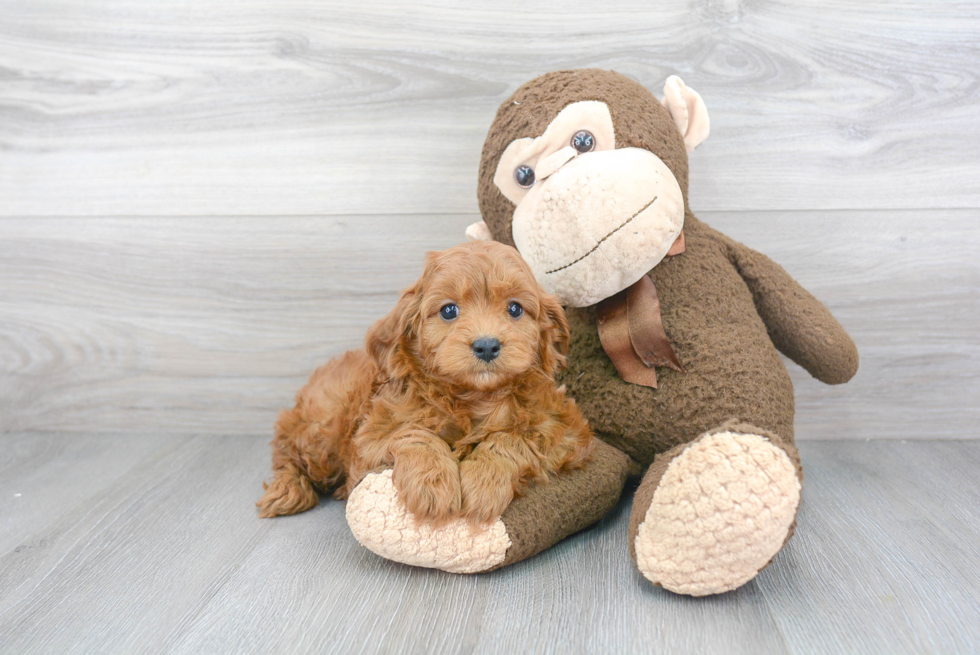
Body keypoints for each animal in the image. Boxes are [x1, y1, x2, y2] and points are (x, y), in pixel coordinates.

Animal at [256, 243, 592, 524]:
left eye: (515, 309)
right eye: (449, 310)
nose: (486, 345)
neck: (474, 398)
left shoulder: (565, 429)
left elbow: (513, 438)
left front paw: (484, 480)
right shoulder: (370, 439)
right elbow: (413, 433)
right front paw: (432, 483)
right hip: (321, 431)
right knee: (287, 455)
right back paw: (287, 490)